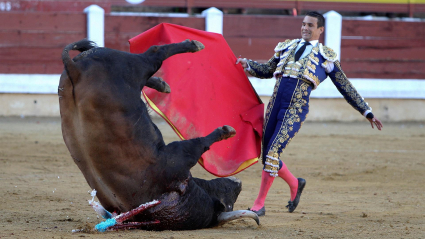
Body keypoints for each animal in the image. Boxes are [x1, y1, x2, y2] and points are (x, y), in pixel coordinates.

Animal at [58, 38, 258, 231]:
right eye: (228, 203)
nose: (238, 183)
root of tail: (74, 70)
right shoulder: (180, 156)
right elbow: (202, 143)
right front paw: (227, 131)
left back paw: (162, 84)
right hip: (132, 66)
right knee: (154, 52)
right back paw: (193, 45)